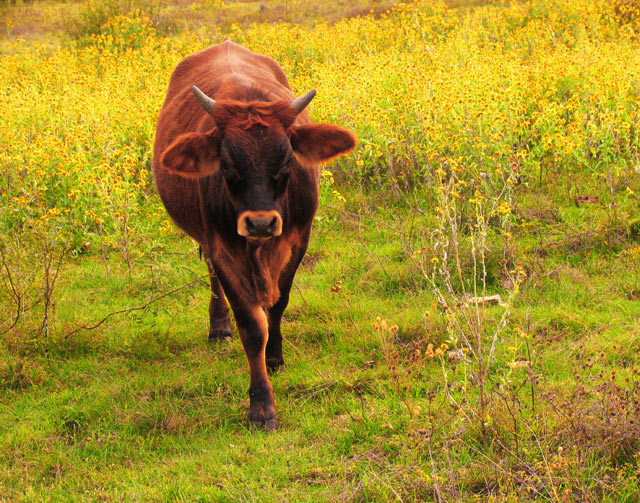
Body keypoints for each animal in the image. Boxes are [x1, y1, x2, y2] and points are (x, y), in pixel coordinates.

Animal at [153, 41, 358, 432]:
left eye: (287, 161)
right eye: (227, 164)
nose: (260, 224)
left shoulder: (298, 240)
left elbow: (278, 305)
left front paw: (275, 357)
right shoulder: (223, 248)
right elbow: (251, 326)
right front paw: (261, 406)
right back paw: (219, 327)